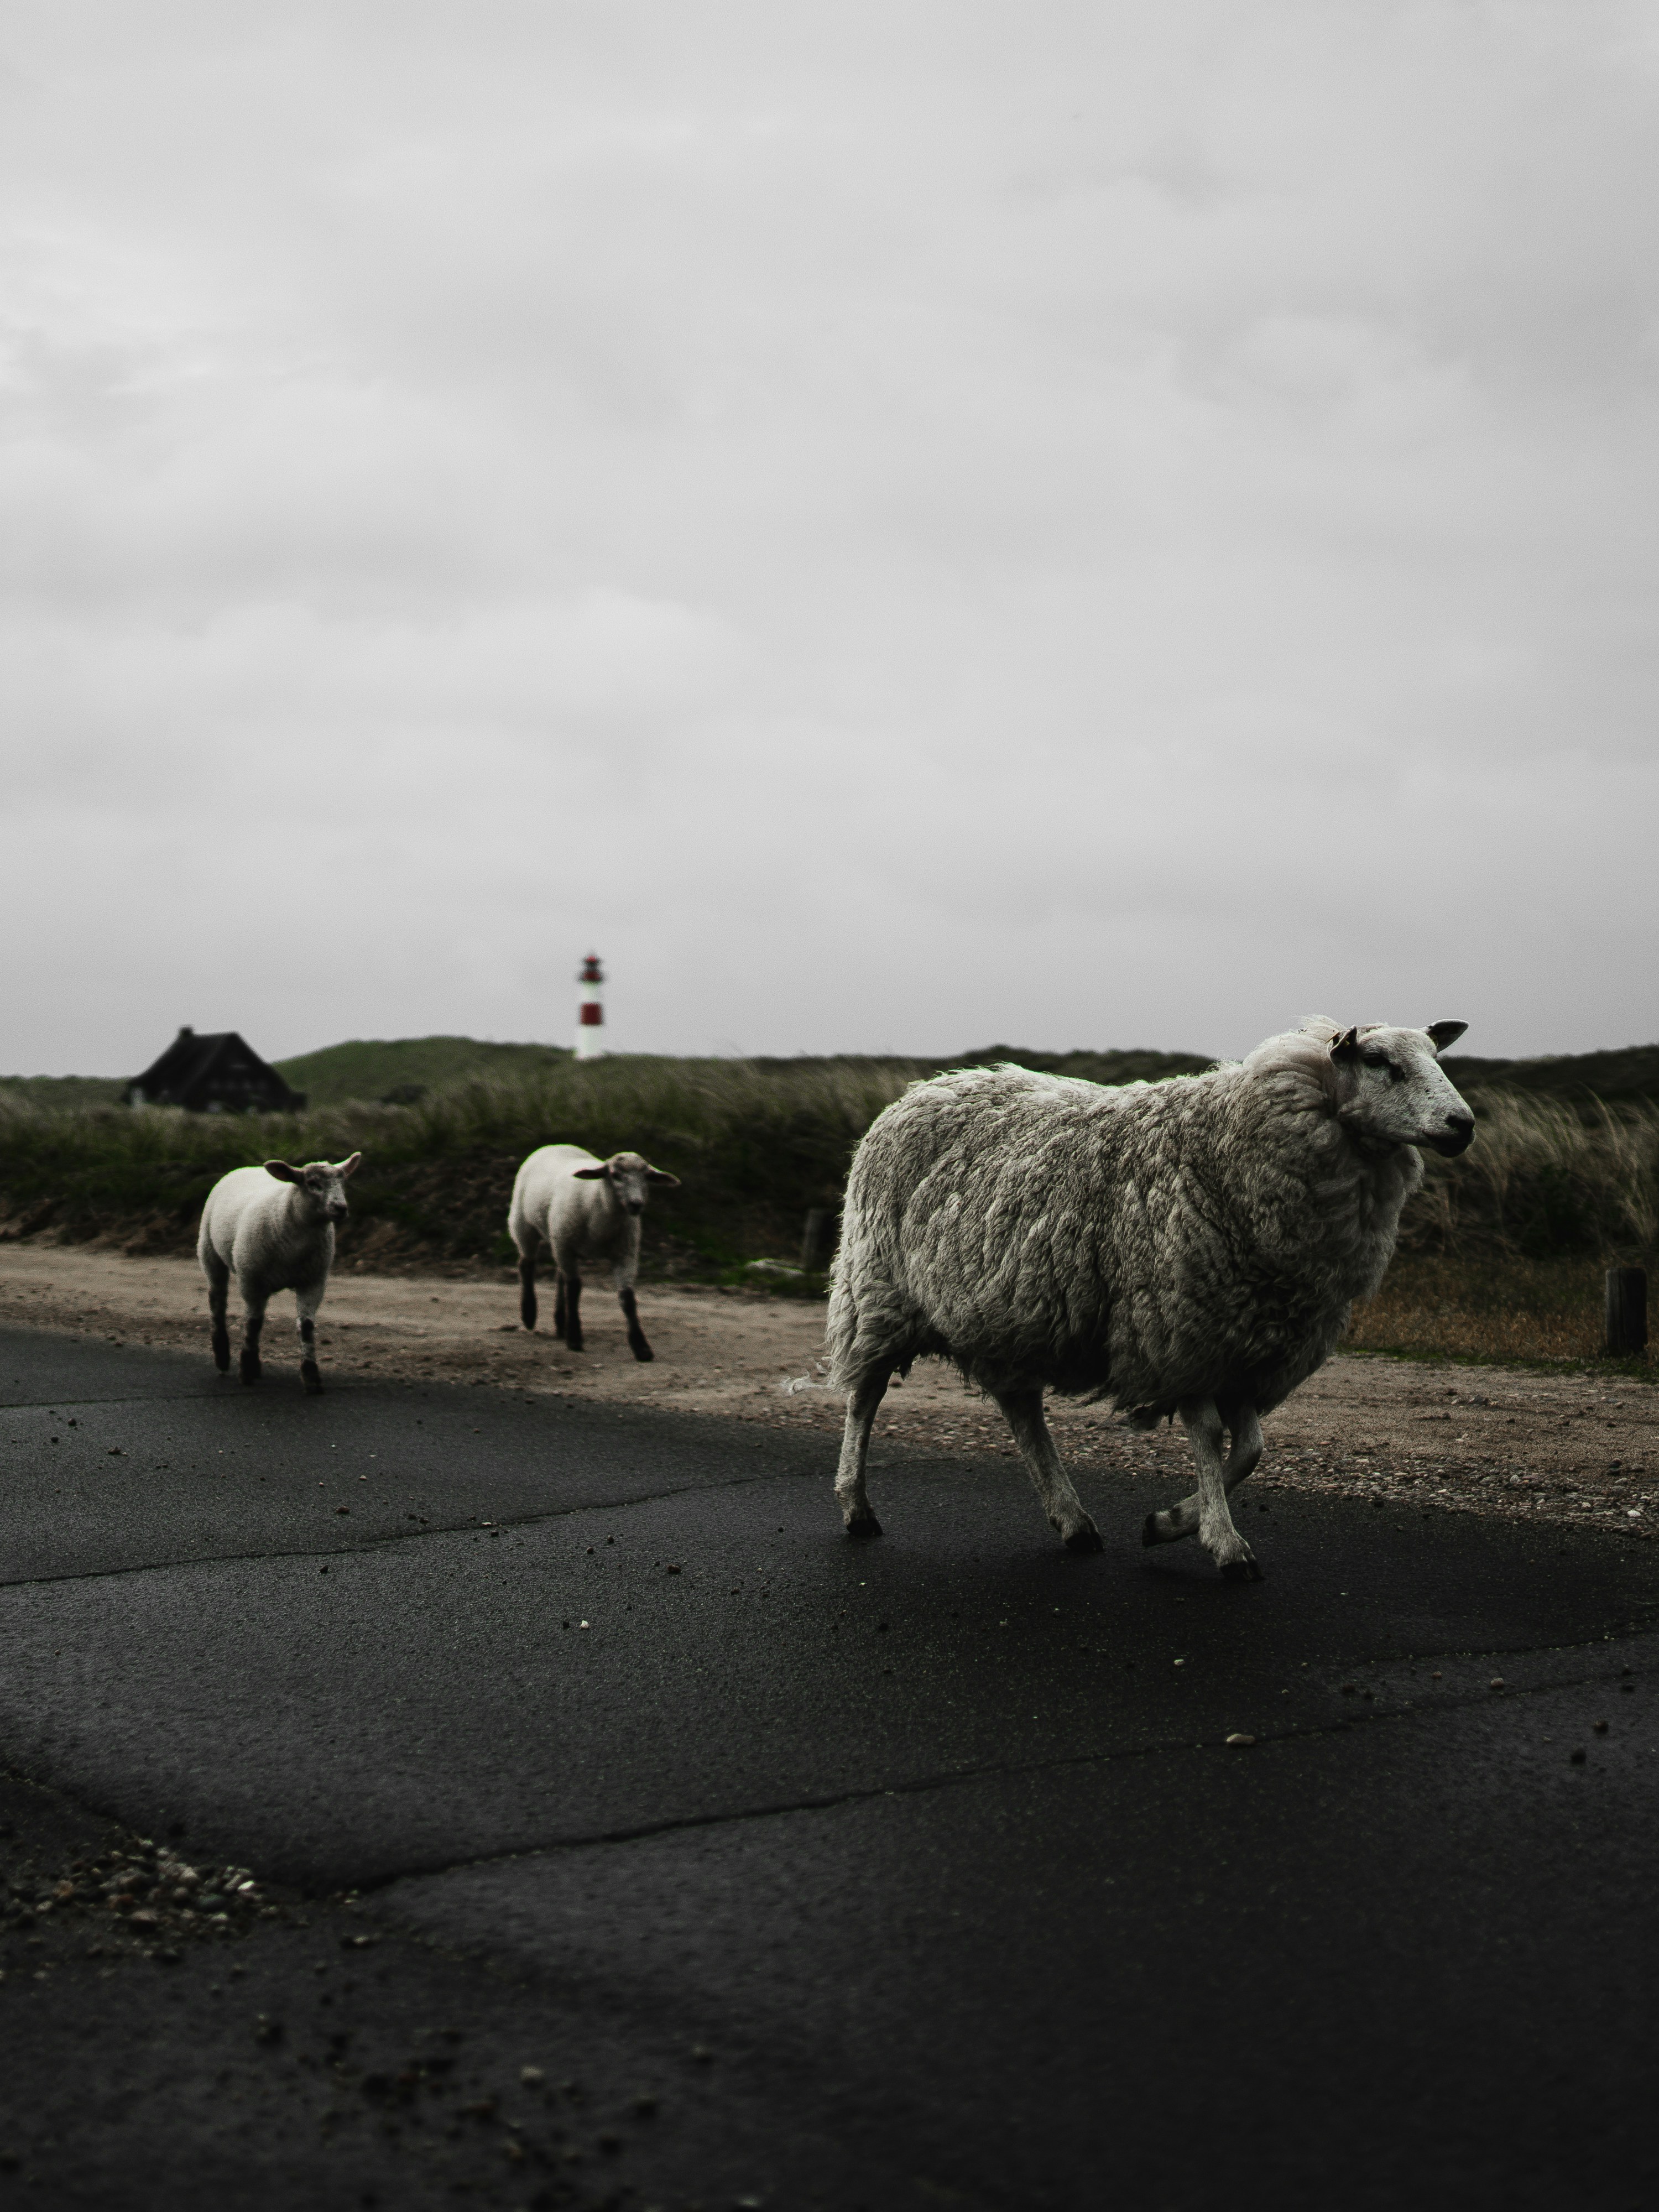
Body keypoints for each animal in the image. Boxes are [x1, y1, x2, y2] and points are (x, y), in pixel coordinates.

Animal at [197, 1154, 362, 1394]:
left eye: (343, 1182)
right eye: (312, 1183)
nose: (340, 1208)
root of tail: (247, 1167)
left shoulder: (313, 1282)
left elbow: (306, 1327)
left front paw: (311, 1378)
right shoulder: (251, 1281)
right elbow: (252, 1323)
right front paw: (246, 1371)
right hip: (209, 1251)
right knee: (218, 1302)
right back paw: (223, 1358)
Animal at [509, 1145, 681, 1361]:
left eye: (647, 1176)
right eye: (615, 1175)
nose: (636, 1204)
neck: (598, 1204)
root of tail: (556, 1145)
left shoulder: (626, 1253)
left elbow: (628, 1299)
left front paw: (641, 1347)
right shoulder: (566, 1246)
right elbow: (574, 1289)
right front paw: (575, 1339)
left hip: (558, 1239)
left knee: (560, 1276)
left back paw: (560, 1324)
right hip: (525, 1225)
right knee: (527, 1265)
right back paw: (529, 1315)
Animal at [825, 1019, 1473, 1577]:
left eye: (1436, 1057)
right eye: (1379, 1061)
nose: (1462, 1123)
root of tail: (926, 1088)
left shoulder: (1248, 1344)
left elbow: (1252, 1449)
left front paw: (1169, 1522)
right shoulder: (1180, 1329)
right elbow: (1211, 1439)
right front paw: (1225, 1545)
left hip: (1009, 1314)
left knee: (1022, 1411)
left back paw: (1073, 1521)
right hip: (878, 1291)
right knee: (865, 1396)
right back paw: (856, 1507)